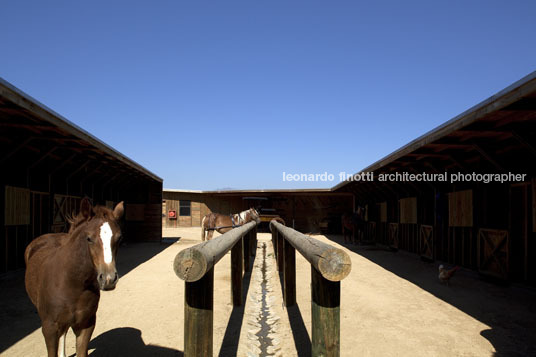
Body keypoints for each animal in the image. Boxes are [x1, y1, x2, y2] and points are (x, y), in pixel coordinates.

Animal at [25, 197, 124, 356]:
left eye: (119, 238)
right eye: (89, 238)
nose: (109, 279)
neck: (71, 283)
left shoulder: (86, 324)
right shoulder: (49, 329)